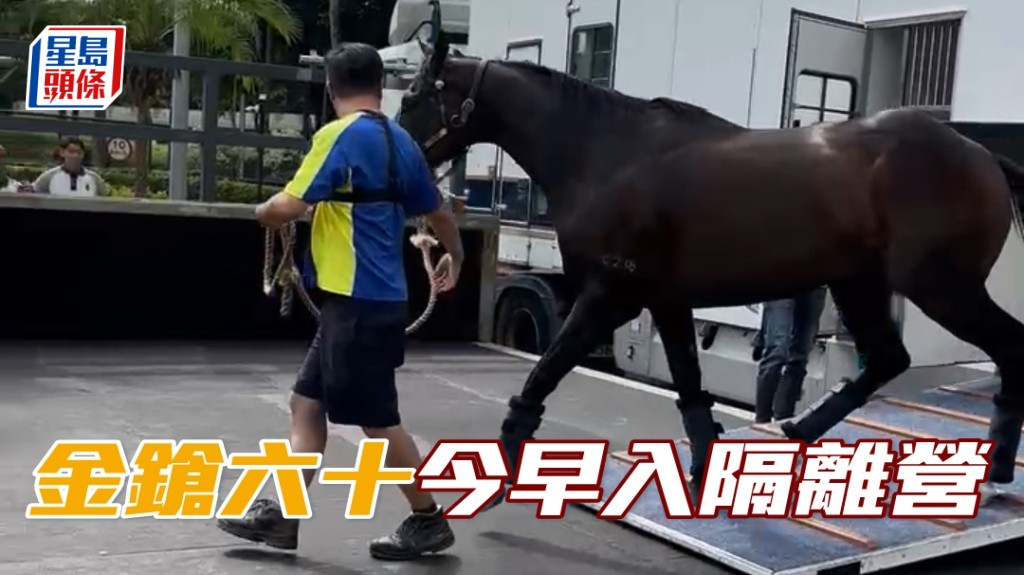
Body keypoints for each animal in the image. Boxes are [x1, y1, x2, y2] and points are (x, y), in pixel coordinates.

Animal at [396, 32, 1024, 505]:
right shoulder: (665, 299)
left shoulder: (612, 293)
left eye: (414, 97)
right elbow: (690, 387)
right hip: (859, 283)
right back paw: (799, 431)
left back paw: (995, 468)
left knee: (1006, 347)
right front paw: (703, 470)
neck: (605, 155)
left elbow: (544, 372)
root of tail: (981, 154)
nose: (400, 156)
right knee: (889, 359)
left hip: (940, 286)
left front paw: (500, 468)